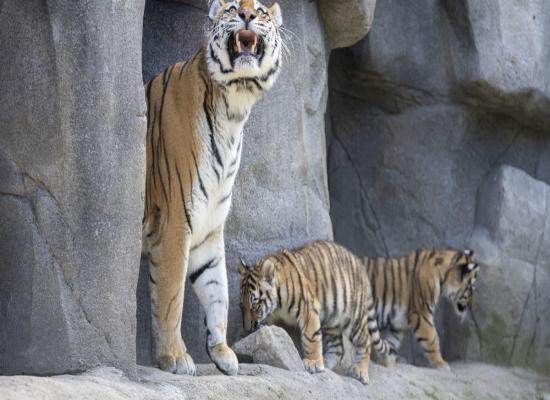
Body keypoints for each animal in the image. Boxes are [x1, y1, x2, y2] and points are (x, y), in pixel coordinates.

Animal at [142, 0, 284, 376]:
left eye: (261, 10)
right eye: (233, 7)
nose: (247, 15)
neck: (234, 108)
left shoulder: (208, 228)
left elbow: (217, 288)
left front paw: (222, 352)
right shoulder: (175, 220)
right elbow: (171, 296)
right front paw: (175, 357)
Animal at [239, 241, 394, 384]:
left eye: (255, 306)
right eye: (242, 307)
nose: (247, 328)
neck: (277, 305)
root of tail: (360, 264)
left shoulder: (308, 309)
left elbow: (311, 337)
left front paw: (313, 363)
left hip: (353, 318)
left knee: (365, 341)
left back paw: (360, 371)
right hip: (332, 319)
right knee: (338, 348)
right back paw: (326, 362)